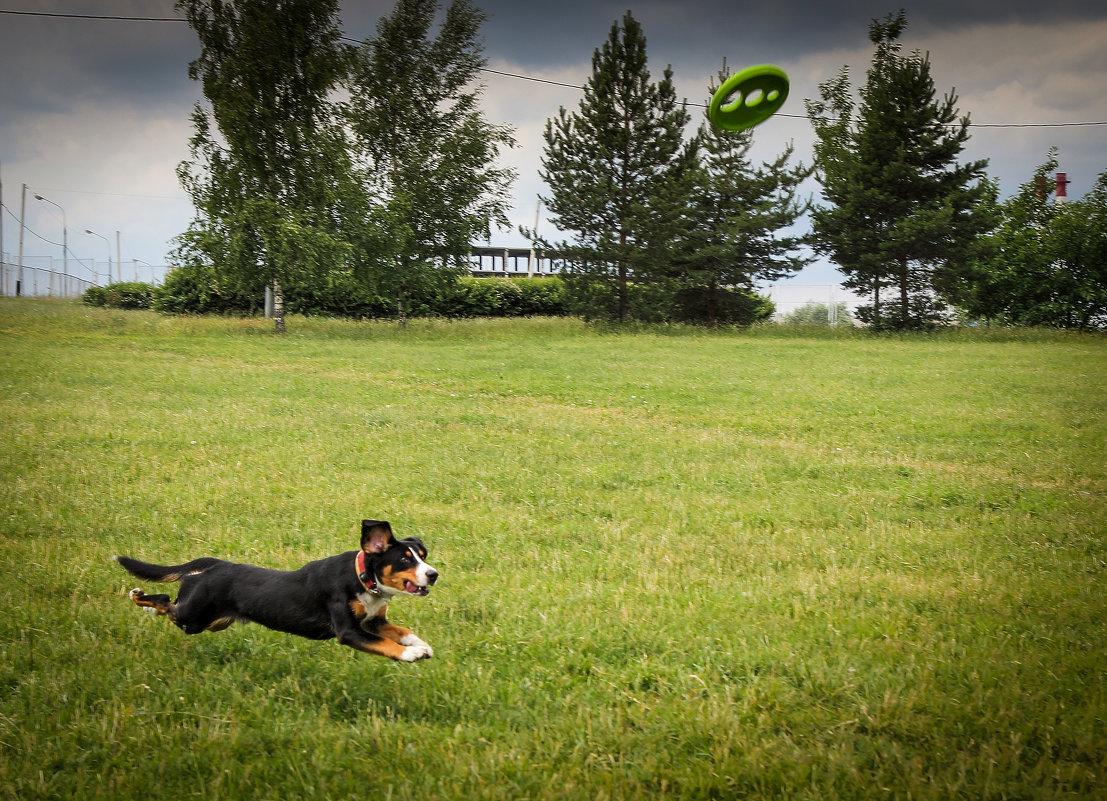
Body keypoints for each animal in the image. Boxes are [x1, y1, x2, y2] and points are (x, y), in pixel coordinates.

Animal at [114, 519, 436, 663]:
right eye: (405, 560)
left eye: (422, 555)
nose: (433, 575)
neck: (362, 580)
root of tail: (215, 565)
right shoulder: (349, 630)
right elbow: (384, 644)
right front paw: (410, 653)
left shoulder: (373, 620)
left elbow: (400, 630)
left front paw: (419, 643)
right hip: (194, 618)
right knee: (167, 601)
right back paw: (138, 597)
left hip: (215, 621)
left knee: (170, 603)